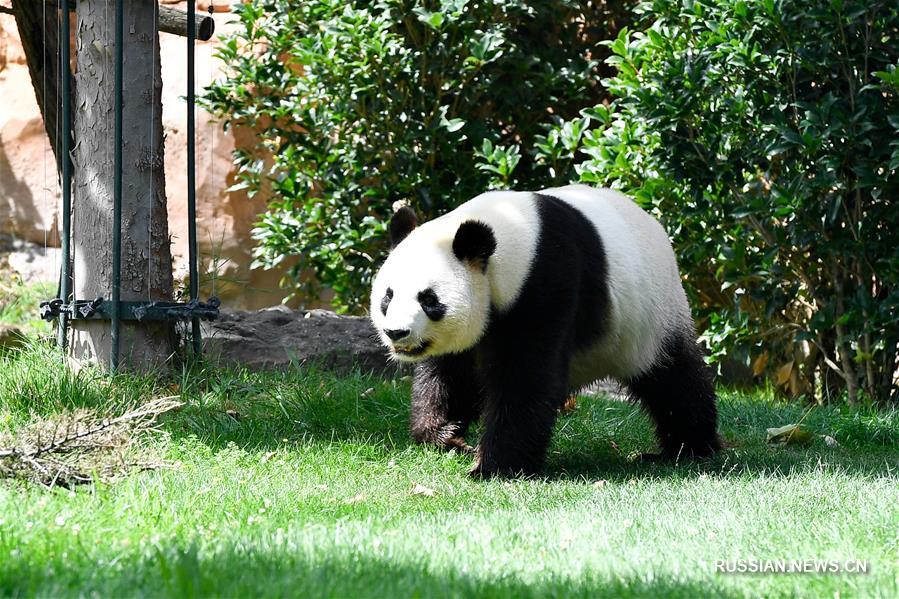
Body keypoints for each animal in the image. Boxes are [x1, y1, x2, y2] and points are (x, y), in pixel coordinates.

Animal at [370, 184, 724, 478]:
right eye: (388, 296)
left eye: (429, 299)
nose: (396, 332)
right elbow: (451, 372)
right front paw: (444, 435)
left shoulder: (547, 283)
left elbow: (525, 377)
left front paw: (493, 466)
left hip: (649, 315)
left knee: (673, 379)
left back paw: (688, 448)